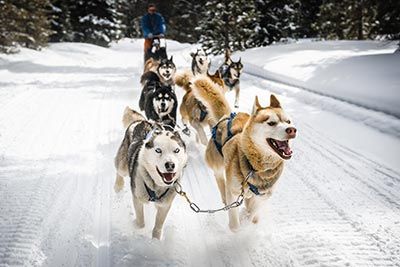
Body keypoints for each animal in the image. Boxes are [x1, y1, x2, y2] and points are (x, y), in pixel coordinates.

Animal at [113, 108, 187, 240]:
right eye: (158, 150)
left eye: (176, 150)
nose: (170, 165)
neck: (156, 185)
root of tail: (143, 121)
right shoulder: (137, 198)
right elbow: (141, 222)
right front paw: (138, 228)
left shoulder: (165, 205)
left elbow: (158, 226)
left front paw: (155, 241)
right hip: (123, 166)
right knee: (119, 171)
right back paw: (118, 186)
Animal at [191, 78, 296, 232]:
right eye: (271, 123)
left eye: (288, 121)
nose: (292, 129)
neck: (255, 167)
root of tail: (228, 116)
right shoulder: (233, 192)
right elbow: (235, 225)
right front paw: (240, 225)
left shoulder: (263, 196)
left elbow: (252, 212)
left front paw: (248, 217)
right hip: (217, 165)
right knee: (220, 180)